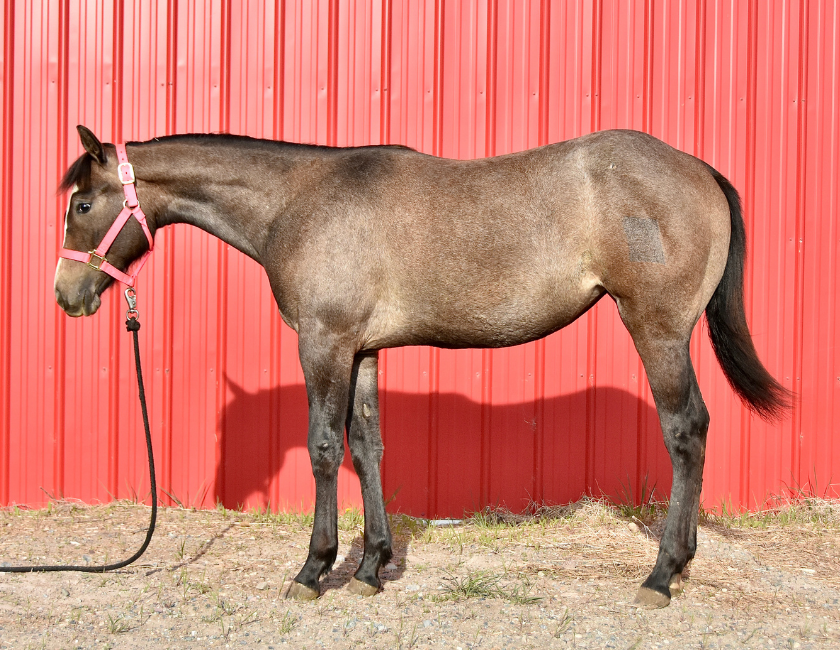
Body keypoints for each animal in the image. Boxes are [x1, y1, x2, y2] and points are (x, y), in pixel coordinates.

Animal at [54, 125, 789, 608]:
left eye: (82, 205)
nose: (68, 296)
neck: (299, 201)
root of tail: (698, 169)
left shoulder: (324, 342)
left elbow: (324, 449)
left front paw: (314, 569)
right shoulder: (363, 350)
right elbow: (368, 447)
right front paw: (372, 568)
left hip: (657, 330)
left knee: (686, 432)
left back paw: (662, 575)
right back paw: (681, 566)